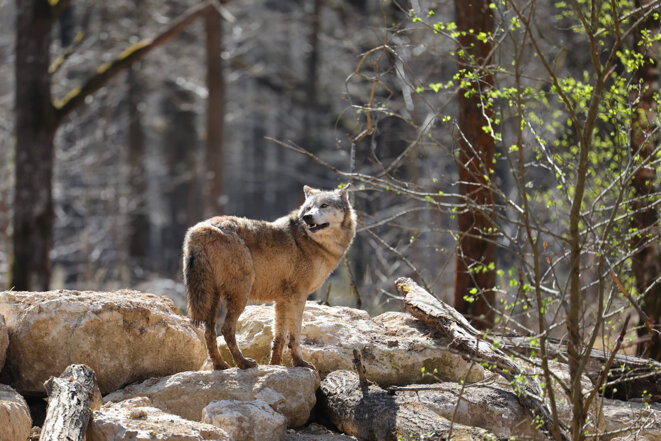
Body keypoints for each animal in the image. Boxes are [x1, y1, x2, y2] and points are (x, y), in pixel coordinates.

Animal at [183, 184, 356, 370]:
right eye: (309, 208)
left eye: (324, 205)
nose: (307, 217)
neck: (312, 242)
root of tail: (200, 230)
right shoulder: (298, 295)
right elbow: (295, 334)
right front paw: (300, 363)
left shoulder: (281, 300)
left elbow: (279, 337)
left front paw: (275, 365)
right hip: (240, 294)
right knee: (226, 329)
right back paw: (244, 363)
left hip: (213, 297)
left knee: (209, 332)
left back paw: (221, 365)